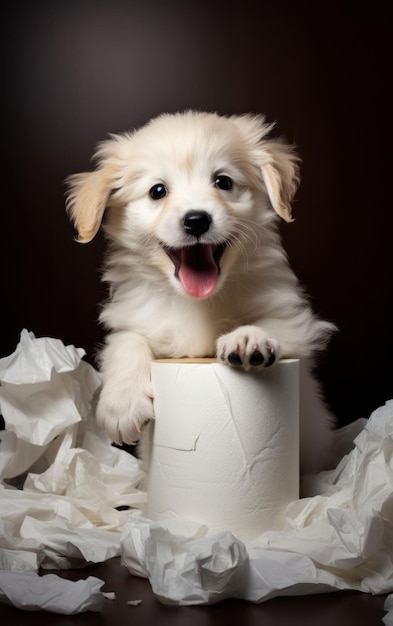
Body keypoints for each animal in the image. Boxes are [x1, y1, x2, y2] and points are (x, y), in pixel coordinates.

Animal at [66, 111, 336, 472]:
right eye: (158, 191)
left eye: (223, 182)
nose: (196, 220)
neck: (197, 301)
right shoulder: (134, 318)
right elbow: (126, 342)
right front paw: (122, 405)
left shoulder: (295, 321)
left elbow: (271, 324)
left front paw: (246, 338)